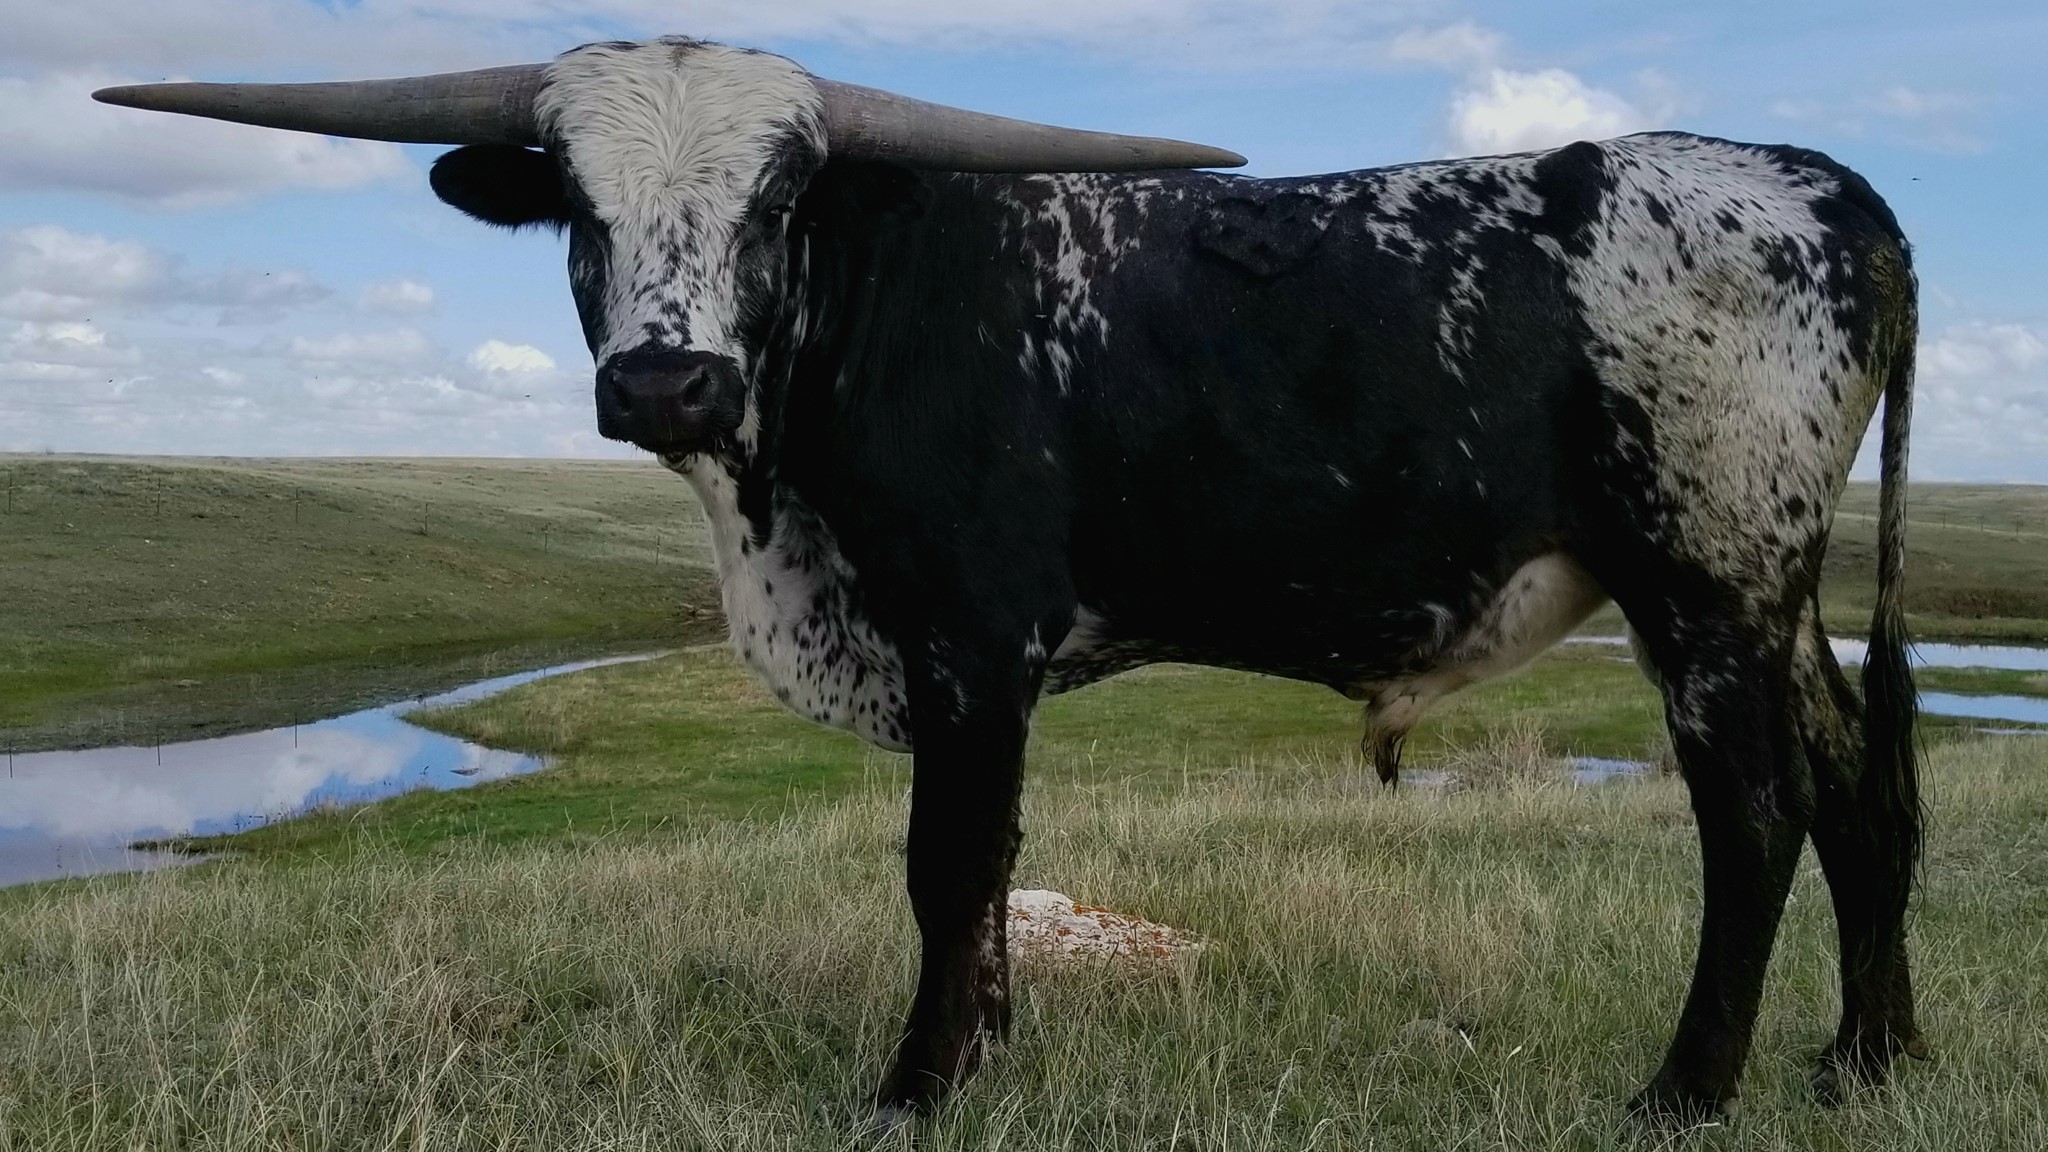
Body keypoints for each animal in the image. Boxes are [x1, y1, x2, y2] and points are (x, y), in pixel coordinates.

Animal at [98, 36, 1925, 1126]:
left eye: (778, 200)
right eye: (576, 205)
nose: (667, 384)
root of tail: (1814, 179)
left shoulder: (969, 642)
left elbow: (947, 861)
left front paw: (918, 1082)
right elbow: (992, 869)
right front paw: (984, 1047)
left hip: (1703, 580)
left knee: (1756, 813)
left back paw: (1687, 1089)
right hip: (1775, 594)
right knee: (1860, 782)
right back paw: (1864, 1054)